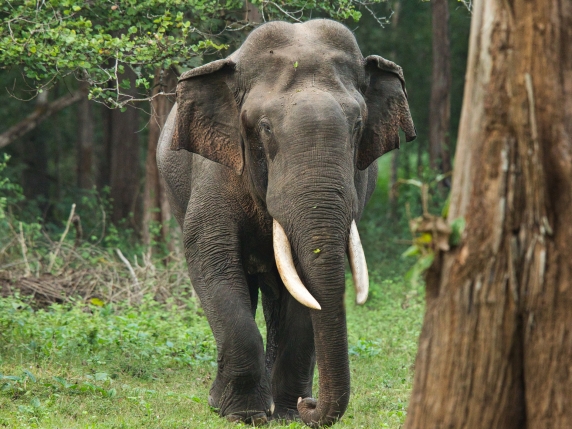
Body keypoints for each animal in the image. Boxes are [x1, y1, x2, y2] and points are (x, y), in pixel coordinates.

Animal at [157, 19, 416, 427]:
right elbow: (211, 257)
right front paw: (244, 415)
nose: (311, 404)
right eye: (264, 127)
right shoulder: (214, 172)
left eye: (358, 125)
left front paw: (287, 415)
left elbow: (307, 295)